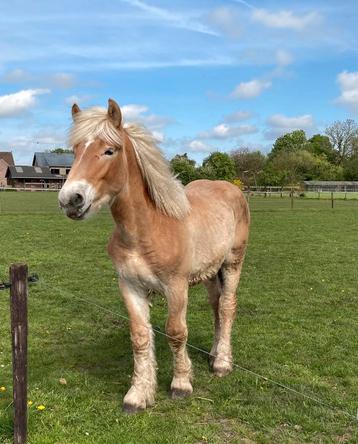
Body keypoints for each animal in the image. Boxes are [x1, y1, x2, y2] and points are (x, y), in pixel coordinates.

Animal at [58, 98, 249, 412]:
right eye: (74, 151)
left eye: (109, 150)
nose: (70, 200)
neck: (147, 229)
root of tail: (230, 188)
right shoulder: (129, 286)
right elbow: (139, 336)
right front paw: (138, 394)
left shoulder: (177, 287)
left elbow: (176, 332)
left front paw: (181, 384)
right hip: (210, 272)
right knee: (215, 306)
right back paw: (213, 354)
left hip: (233, 263)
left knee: (227, 307)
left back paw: (222, 363)